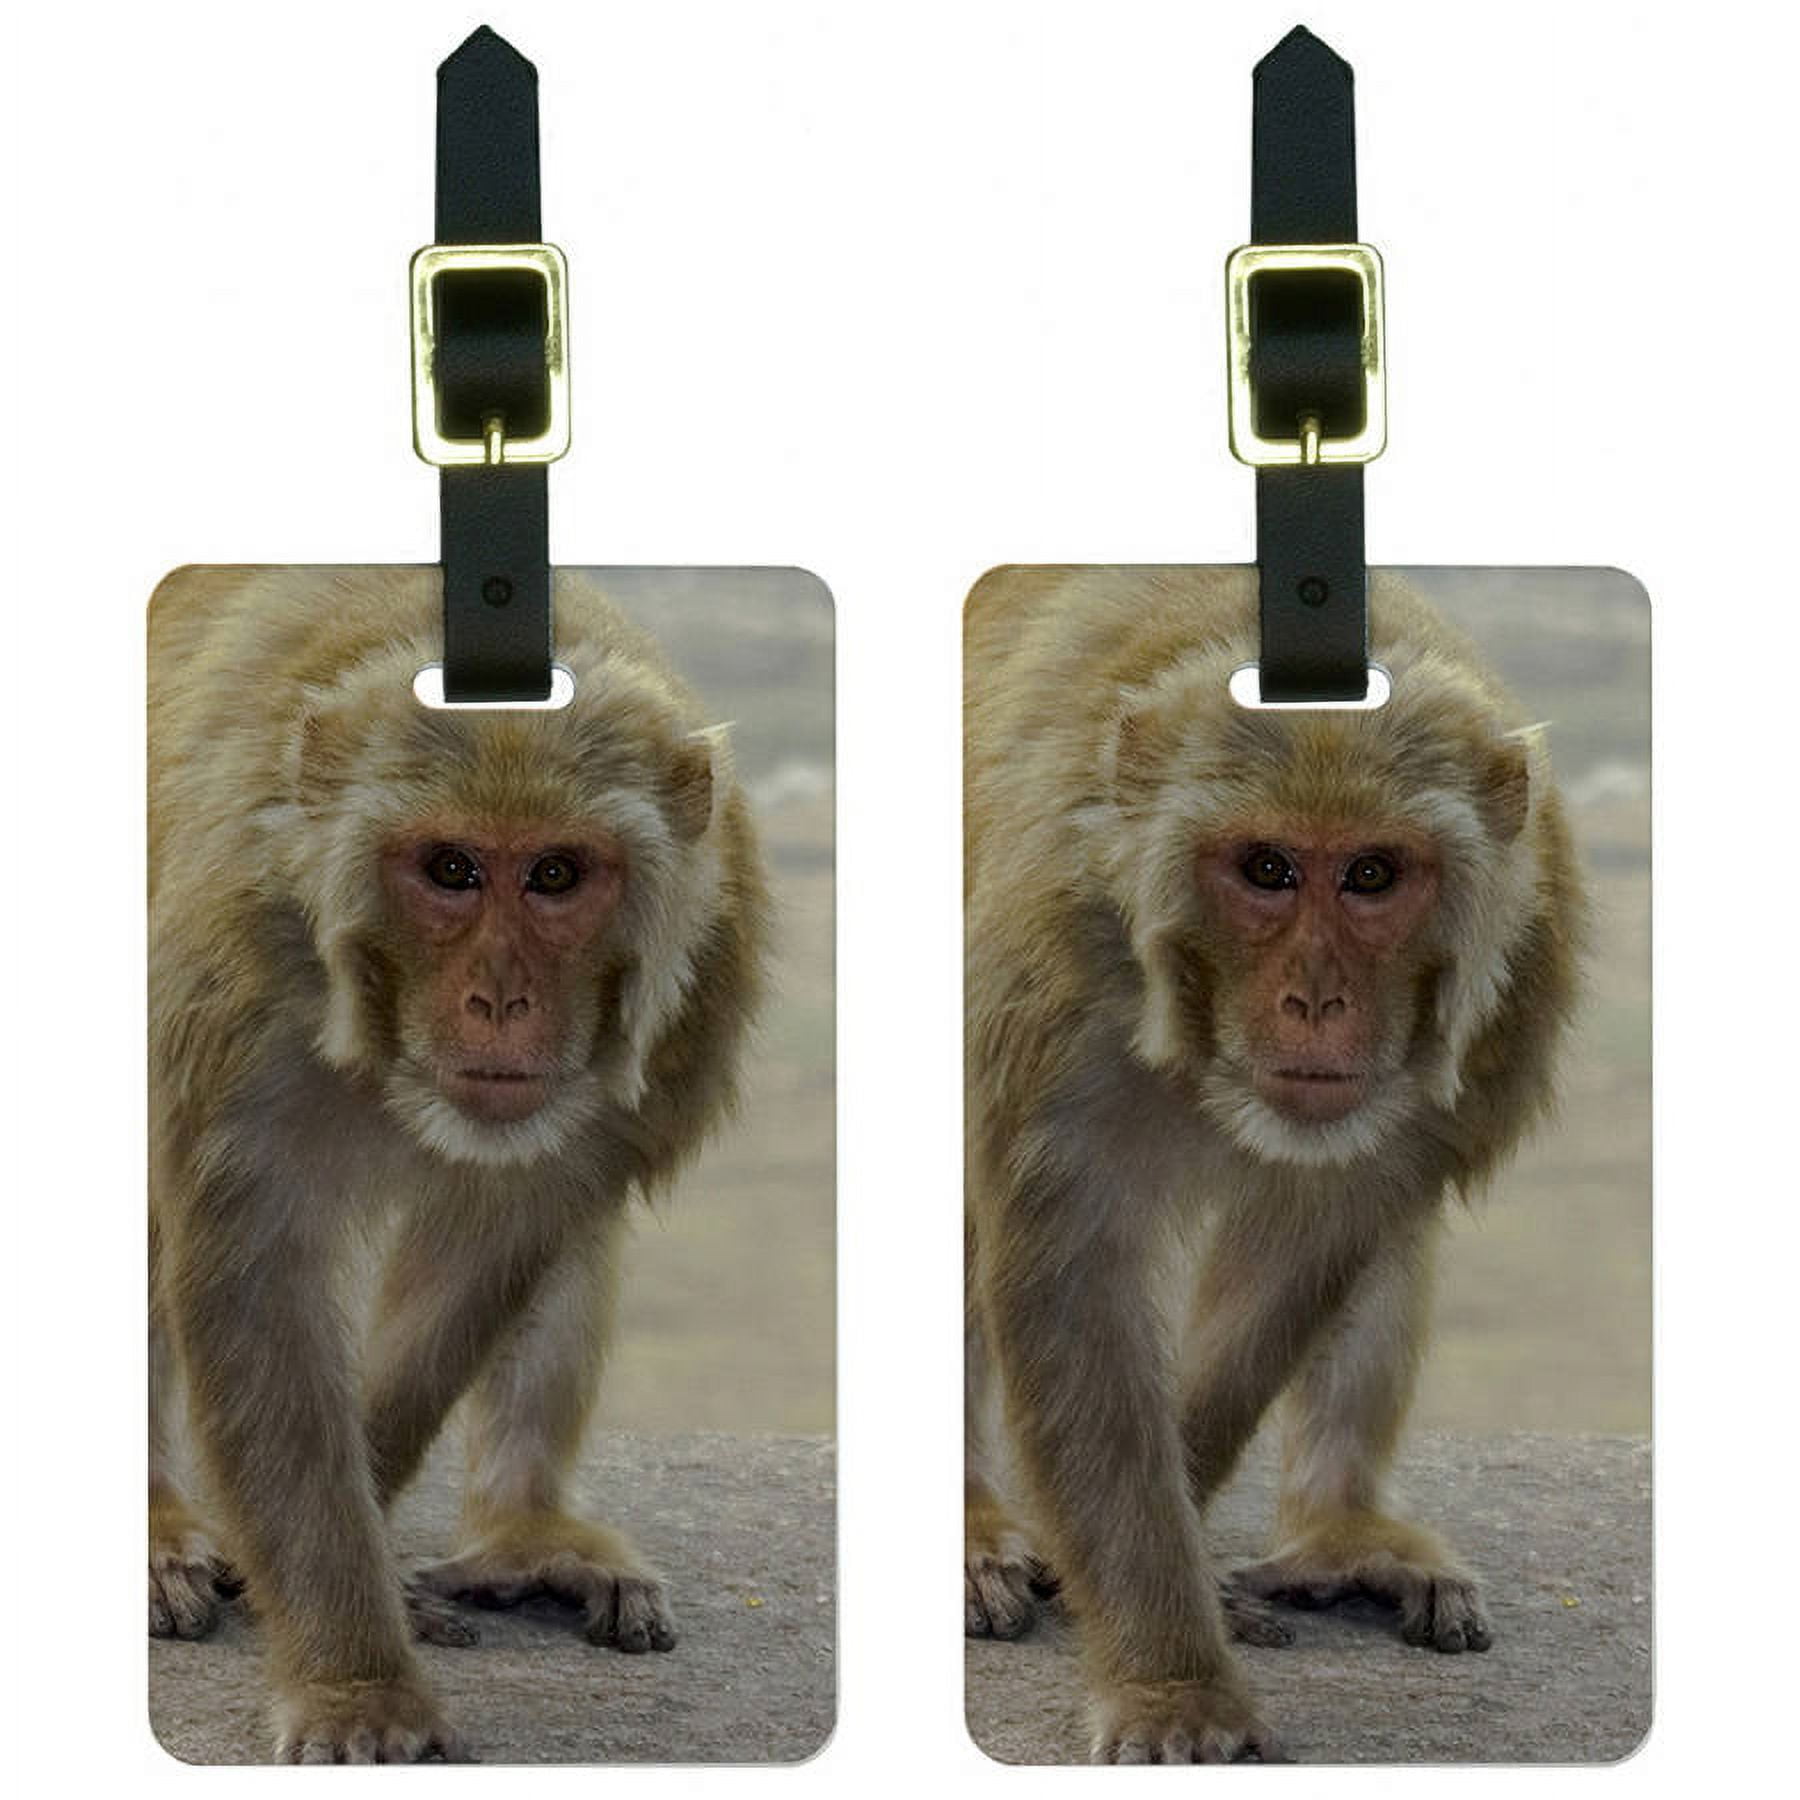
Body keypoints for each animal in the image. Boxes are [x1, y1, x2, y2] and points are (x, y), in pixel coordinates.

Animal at [148, 566, 766, 1762]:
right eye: (450, 869)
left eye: (558, 874)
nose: (499, 1000)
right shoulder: (234, 969)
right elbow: (259, 1277)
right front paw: (355, 1680)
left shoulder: (693, 982)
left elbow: (495, 1248)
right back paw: (156, 1523)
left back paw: (522, 1528)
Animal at [963, 565, 1583, 1763]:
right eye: (1266, 868)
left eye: (1374, 874)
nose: (1315, 1001)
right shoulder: (1050, 967)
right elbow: (1076, 1276)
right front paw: (1171, 1680)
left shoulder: (1506, 984)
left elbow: (1311, 1248)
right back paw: (971, 1523)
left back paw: (1338, 1528)